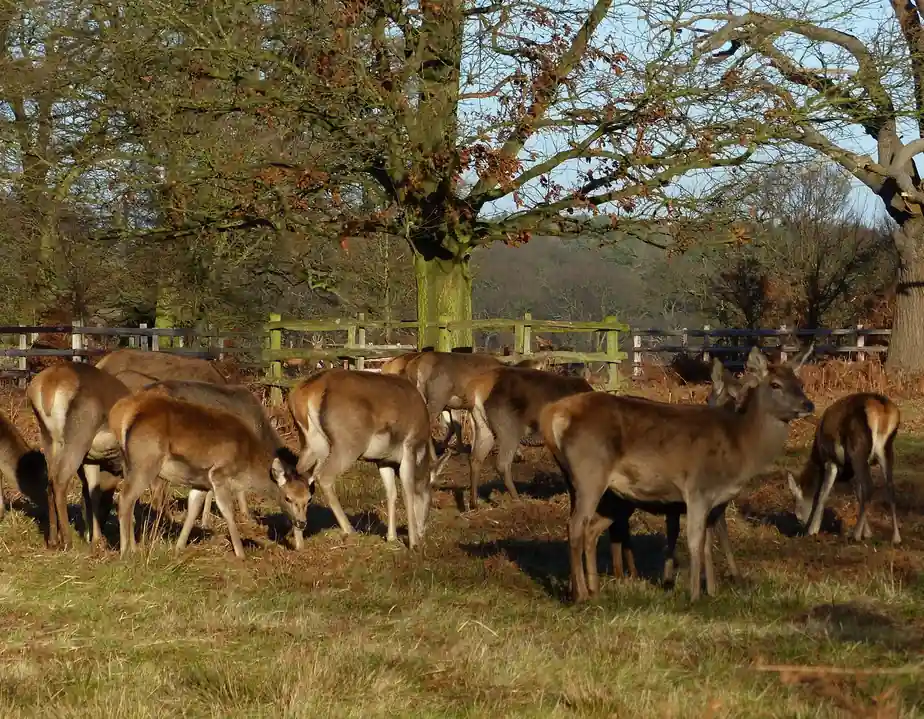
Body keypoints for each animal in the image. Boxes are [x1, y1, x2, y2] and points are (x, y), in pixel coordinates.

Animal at [108, 391, 313, 558]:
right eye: (287, 497)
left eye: (308, 499)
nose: (302, 523)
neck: (248, 466)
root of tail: (121, 415)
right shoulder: (219, 475)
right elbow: (227, 511)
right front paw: (240, 554)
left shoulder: (200, 483)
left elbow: (193, 509)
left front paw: (179, 547)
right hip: (146, 462)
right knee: (125, 498)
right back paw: (126, 551)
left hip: (129, 463)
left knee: (131, 501)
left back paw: (134, 547)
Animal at [288, 368, 450, 549]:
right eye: (432, 488)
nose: (423, 531)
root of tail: (307, 392)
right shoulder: (410, 446)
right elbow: (407, 491)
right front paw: (413, 543)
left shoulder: (384, 460)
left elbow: (391, 492)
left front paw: (392, 537)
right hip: (348, 445)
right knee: (324, 477)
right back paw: (349, 529)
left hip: (312, 444)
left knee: (298, 476)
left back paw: (297, 536)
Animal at [465, 365, 594, 510]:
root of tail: (478, 388)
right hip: (508, 428)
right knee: (502, 464)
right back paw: (518, 501)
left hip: (483, 427)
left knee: (475, 459)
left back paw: (474, 503)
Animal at [540, 346, 814, 602]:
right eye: (775, 384)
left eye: (800, 383)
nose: (808, 404)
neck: (740, 446)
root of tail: (555, 414)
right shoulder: (697, 489)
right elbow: (694, 542)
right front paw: (694, 596)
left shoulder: (715, 501)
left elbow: (706, 545)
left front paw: (711, 592)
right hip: (591, 473)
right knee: (576, 525)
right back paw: (581, 595)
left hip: (602, 491)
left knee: (591, 529)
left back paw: (592, 591)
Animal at [785, 392, 901, 544]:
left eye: (797, 508)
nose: (802, 525)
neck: (818, 456)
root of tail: (883, 410)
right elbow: (858, 494)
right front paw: (868, 533)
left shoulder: (831, 460)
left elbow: (823, 494)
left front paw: (813, 530)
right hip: (886, 451)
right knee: (890, 488)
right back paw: (896, 537)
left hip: (857, 450)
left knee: (869, 486)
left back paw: (855, 535)